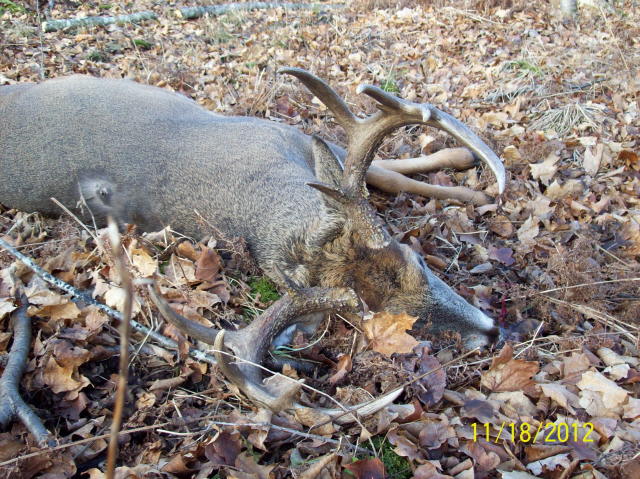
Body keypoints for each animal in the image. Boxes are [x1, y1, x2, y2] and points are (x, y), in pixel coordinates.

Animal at [1, 68, 504, 408]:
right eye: (383, 320)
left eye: (416, 262)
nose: (492, 332)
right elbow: (390, 174)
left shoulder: (295, 136)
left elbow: (391, 174)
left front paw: (471, 172)